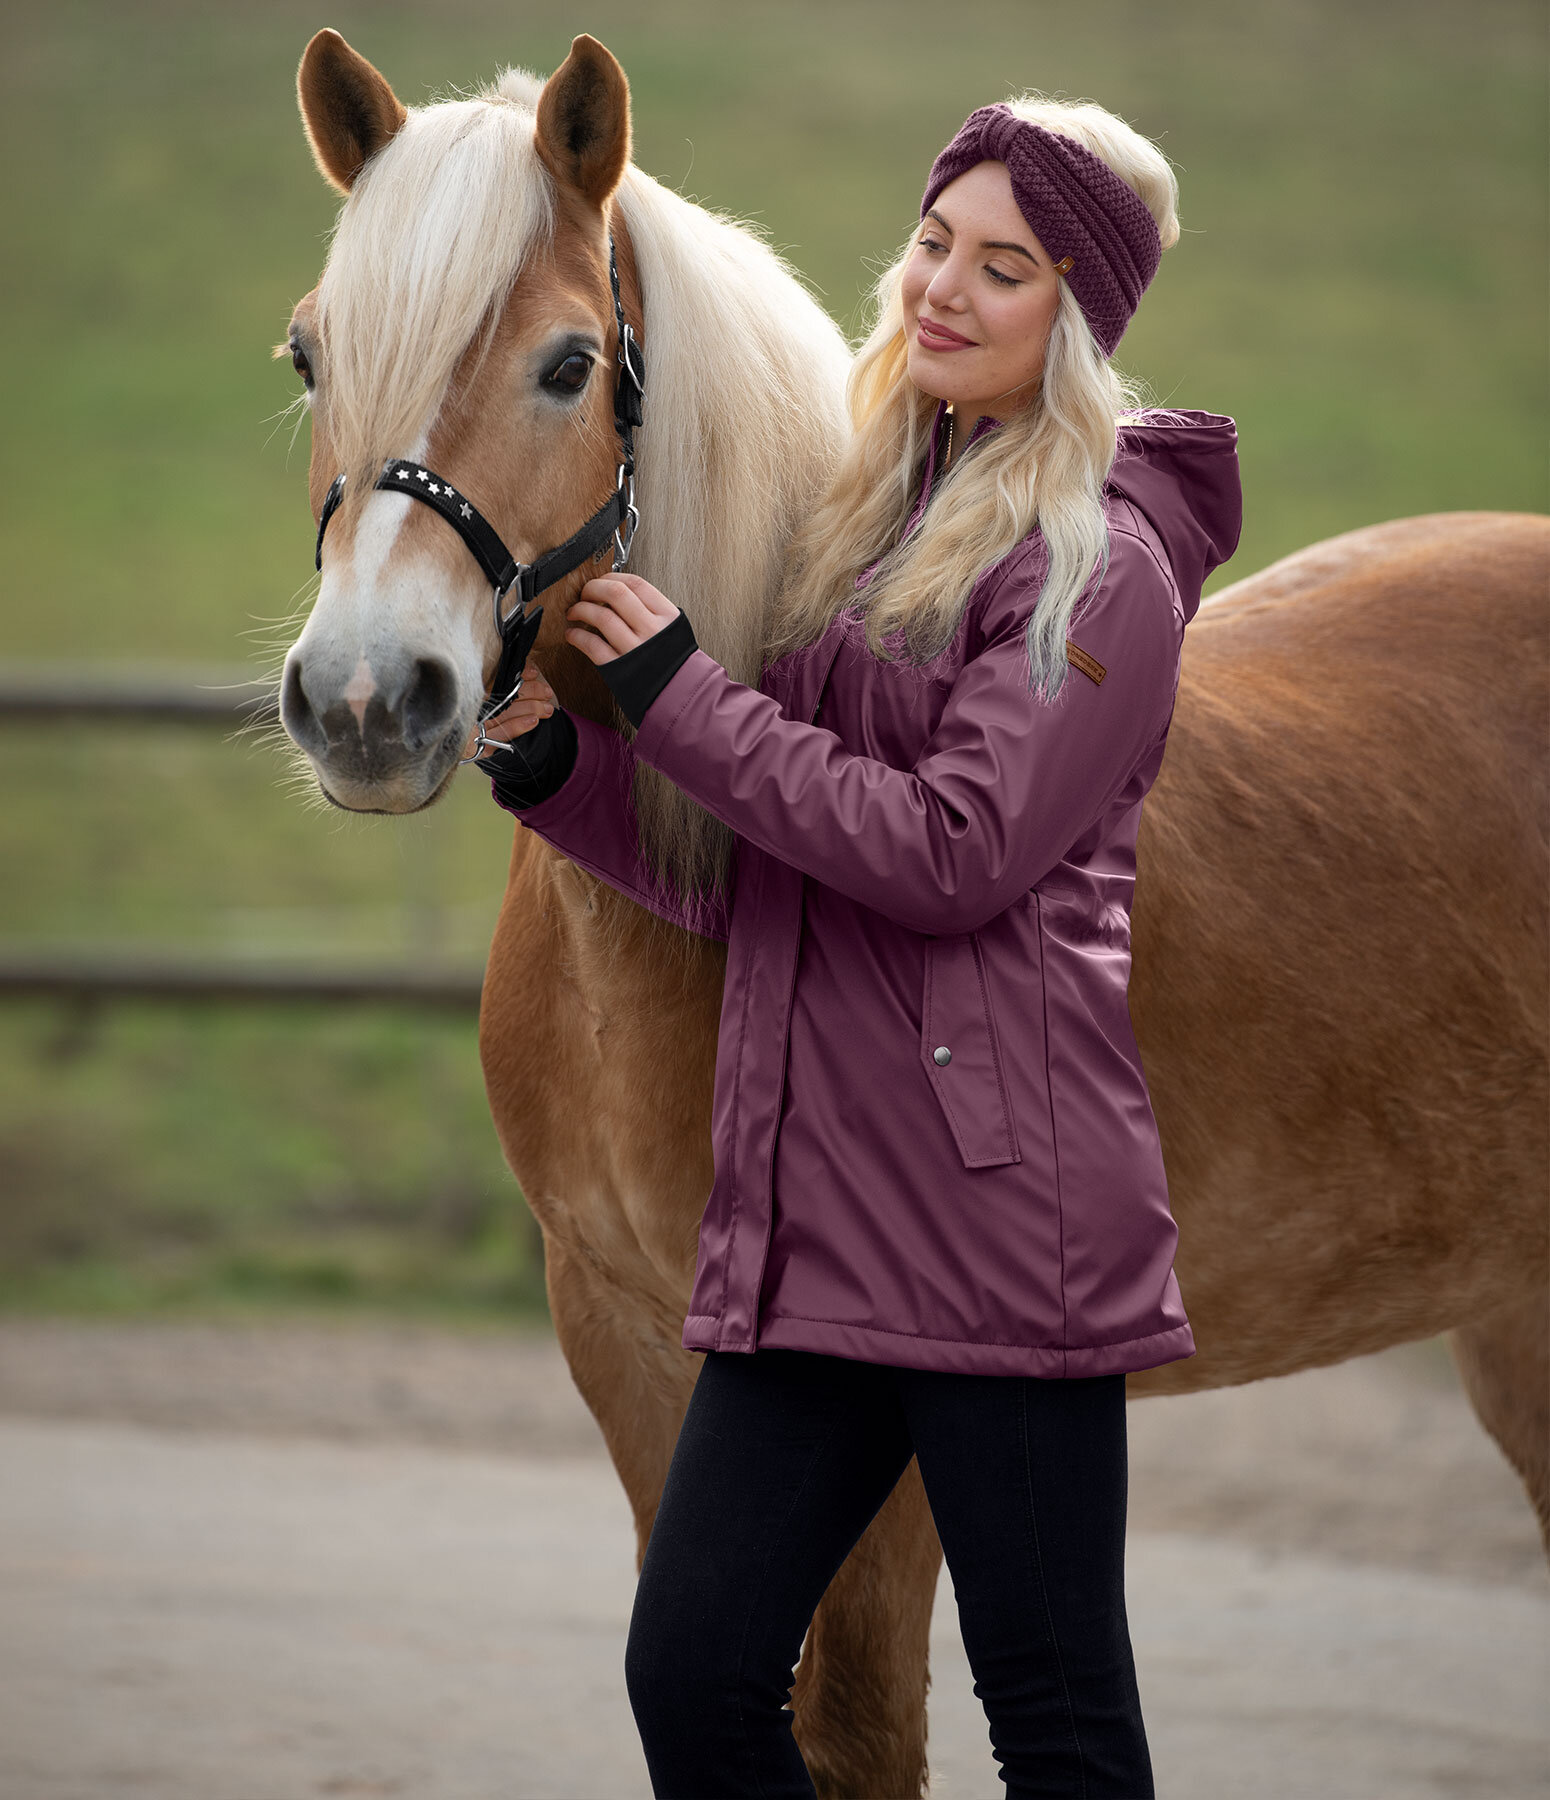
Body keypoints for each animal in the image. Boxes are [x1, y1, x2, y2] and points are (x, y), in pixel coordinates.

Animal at [280, 31, 1548, 1800]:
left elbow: (855, 1734)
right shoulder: (624, 1345)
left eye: (562, 366)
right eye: (308, 354)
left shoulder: (868, 1422)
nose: (364, 702)